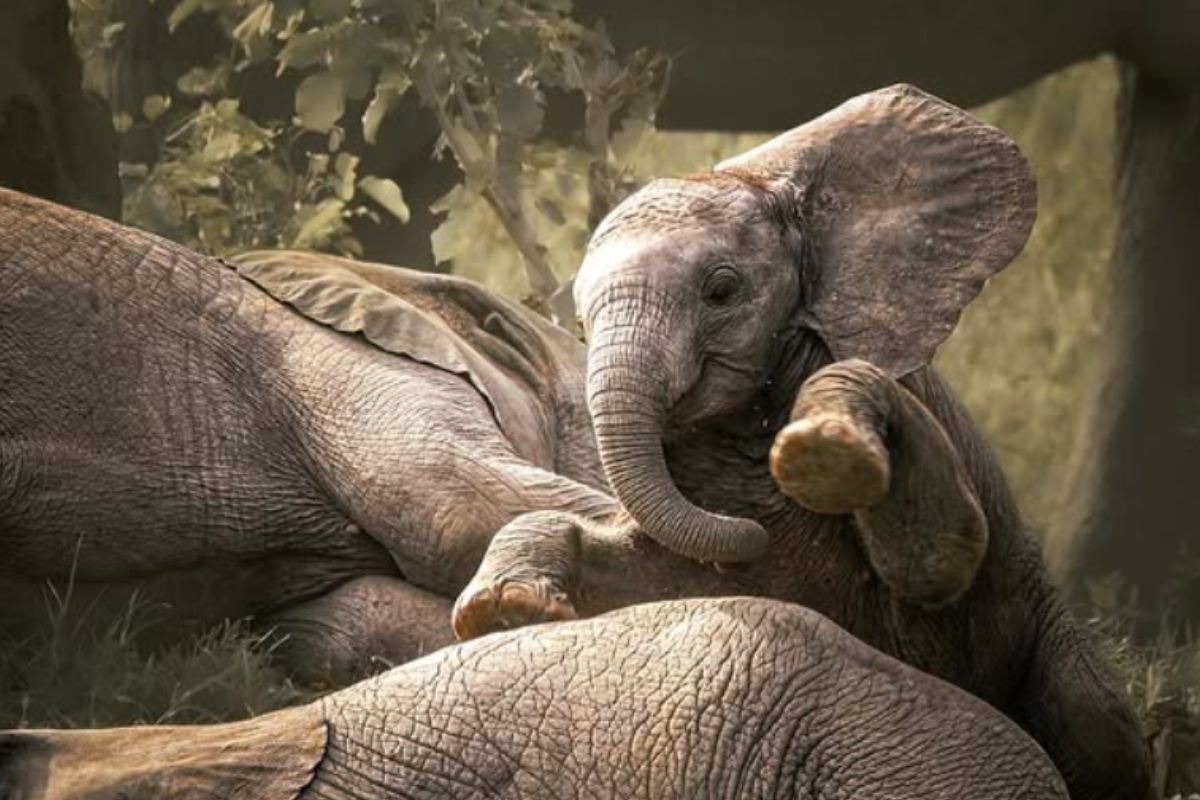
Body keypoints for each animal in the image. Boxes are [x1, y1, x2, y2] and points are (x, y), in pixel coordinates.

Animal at [451, 85, 1152, 800]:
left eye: (721, 291)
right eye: (582, 327)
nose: (749, 531)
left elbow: (940, 560)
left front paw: (821, 452)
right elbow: (656, 573)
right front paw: (506, 611)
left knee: (1098, 728)